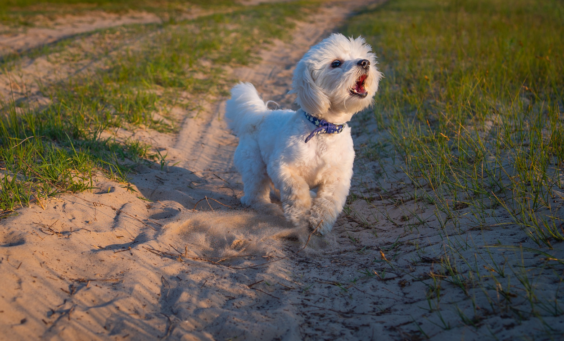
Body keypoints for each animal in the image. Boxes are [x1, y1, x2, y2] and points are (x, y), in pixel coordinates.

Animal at [227, 33, 382, 234]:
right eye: (336, 63)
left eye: (361, 56)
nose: (364, 62)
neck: (324, 128)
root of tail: (259, 115)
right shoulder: (283, 168)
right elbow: (296, 191)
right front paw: (299, 216)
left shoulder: (337, 178)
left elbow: (328, 201)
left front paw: (320, 222)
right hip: (254, 166)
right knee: (255, 194)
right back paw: (266, 207)